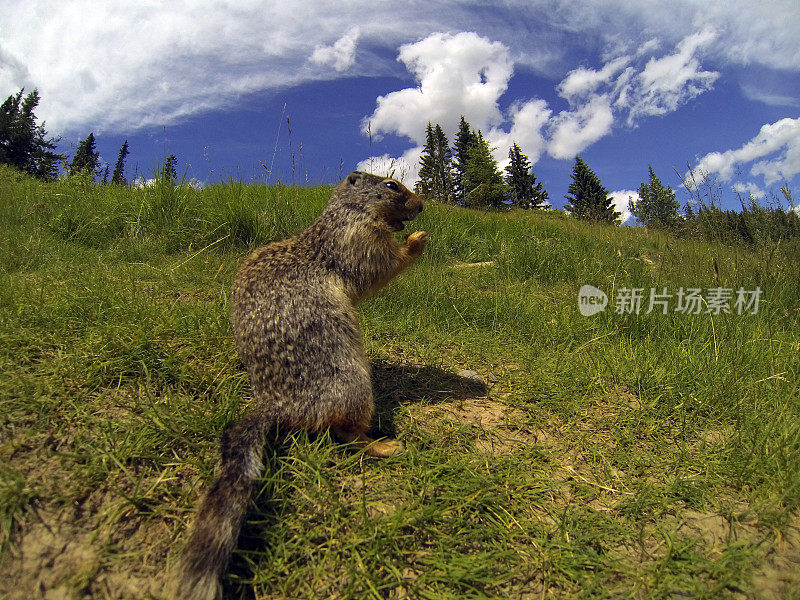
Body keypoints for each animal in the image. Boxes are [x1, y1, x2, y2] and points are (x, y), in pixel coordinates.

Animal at [170, 170, 424, 600]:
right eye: (392, 186)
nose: (422, 205)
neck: (347, 213)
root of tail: (275, 405)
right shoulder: (356, 238)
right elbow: (379, 265)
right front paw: (417, 240)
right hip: (353, 383)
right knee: (342, 432)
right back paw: (383, 445)